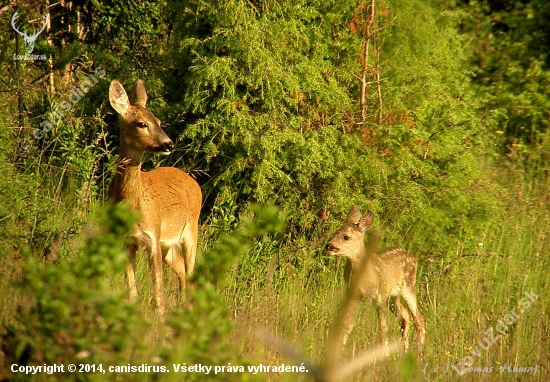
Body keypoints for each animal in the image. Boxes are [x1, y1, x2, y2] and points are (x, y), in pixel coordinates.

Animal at [108, 78, 203, 314]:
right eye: (141, 124)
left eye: (159, 121)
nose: (168, 144)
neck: (131, 205)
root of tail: (192, 180)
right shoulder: (126, 241)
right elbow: (132, 291)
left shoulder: (152, 235)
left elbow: (158, 292)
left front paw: (159, 317)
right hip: (167, 244)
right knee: (180, 266)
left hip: (191, 230)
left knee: (190, 271)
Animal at [328, 207, 426, 350]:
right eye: (335, 232)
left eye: (346, 237)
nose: (329, 245)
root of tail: (413, 257)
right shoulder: (354, 295)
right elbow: (347, 324)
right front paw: (339, 347)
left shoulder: (379, 297)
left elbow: (383, 331)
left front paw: (384, 353)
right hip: (393, 295)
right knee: (404, 315)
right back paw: (404, 348)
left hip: (408, 285)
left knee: (418, 317)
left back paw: (418, 352)